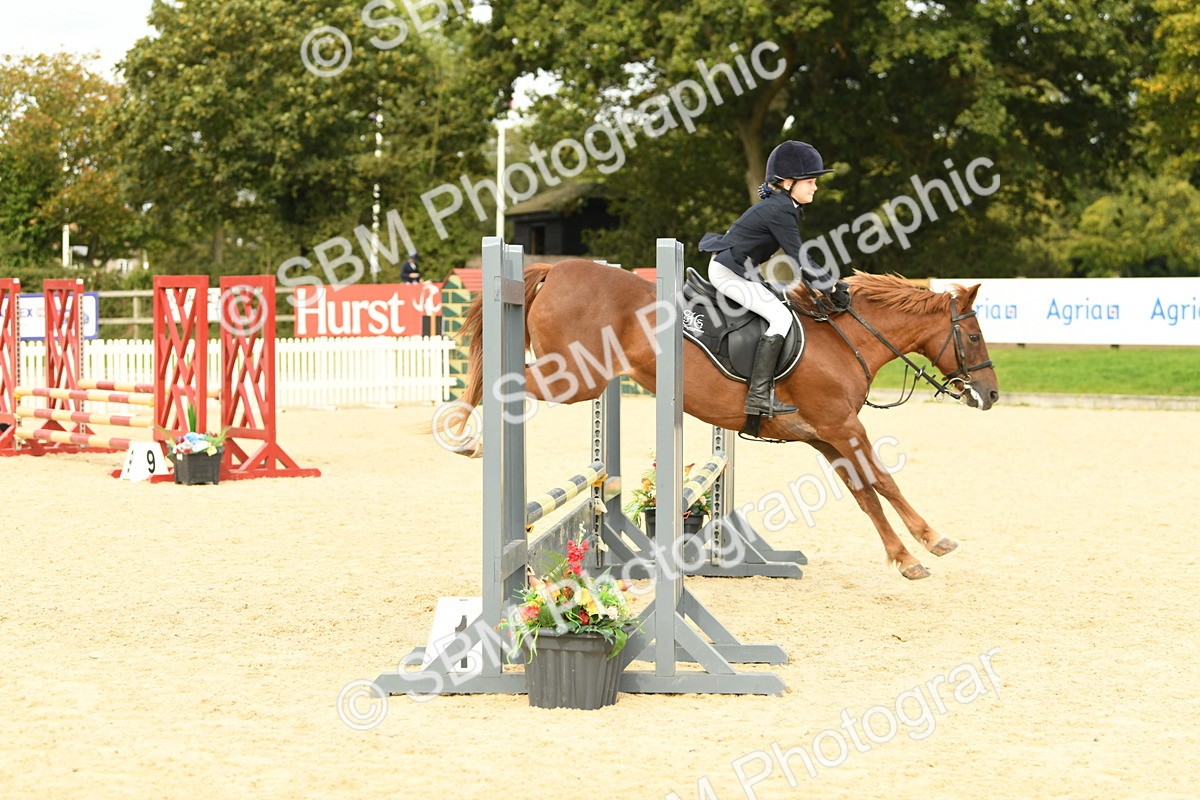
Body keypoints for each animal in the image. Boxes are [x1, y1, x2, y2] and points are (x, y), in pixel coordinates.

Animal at [450, 259, 999, 580]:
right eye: (973, 336)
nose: (991, 394)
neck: (846, 341)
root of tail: (558, 269)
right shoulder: (845, 427)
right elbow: (885, 481)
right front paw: (932, 541)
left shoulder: (826, 436)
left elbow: (865, 494)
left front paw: (904, 558)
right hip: (575, 378)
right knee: (505, 382)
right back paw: (468, 438)